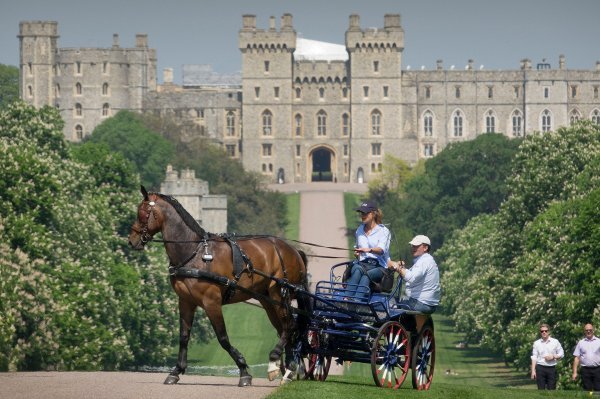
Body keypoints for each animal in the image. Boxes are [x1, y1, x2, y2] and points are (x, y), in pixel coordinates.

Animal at [129, 188, 312, 388]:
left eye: (142, 213)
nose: (132, 240)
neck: (194, 252)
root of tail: (294, 250)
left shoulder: (211, 302)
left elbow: (223, 338)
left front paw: (243, 370)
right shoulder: (185, 301)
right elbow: (184, 337)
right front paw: (176, 371)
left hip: (279, 294)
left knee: (290, 326)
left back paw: (276, 361)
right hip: (268, 300)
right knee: (284, 328)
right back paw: (287, 369)